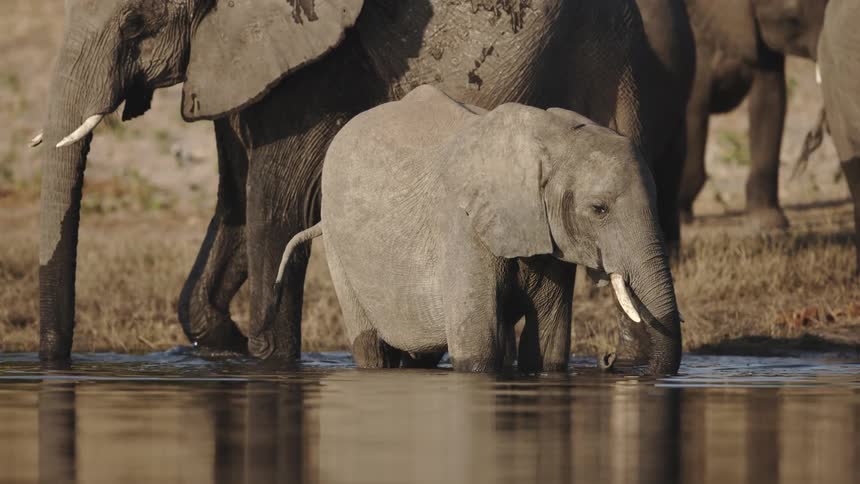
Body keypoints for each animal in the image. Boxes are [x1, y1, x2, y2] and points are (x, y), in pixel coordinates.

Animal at [272, 86, 683, 375]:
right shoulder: (462, 226)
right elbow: (478, 349)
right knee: (371, 348)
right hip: (340, 250)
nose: (608, 360)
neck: (554, 139)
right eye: (599, 210)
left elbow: (548, 348)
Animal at [678, 0, 829, 228]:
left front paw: (768, 223)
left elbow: (769, 99)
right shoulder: (695, 42)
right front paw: (681, 216)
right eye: (791, 16)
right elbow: (694, 108)